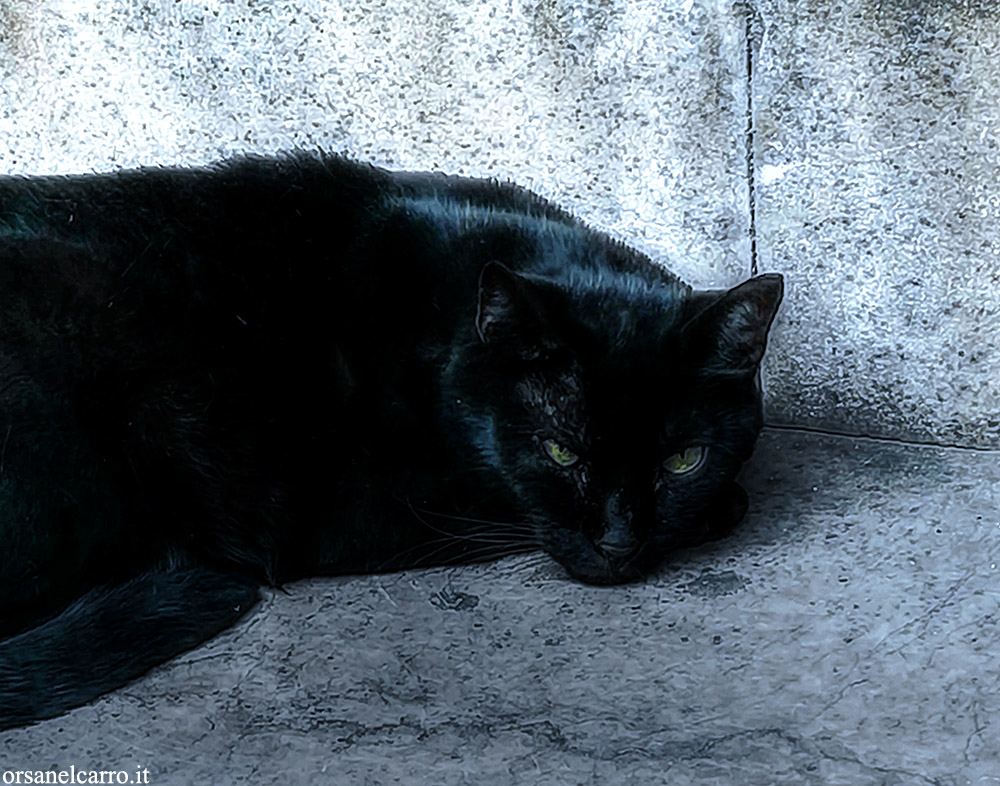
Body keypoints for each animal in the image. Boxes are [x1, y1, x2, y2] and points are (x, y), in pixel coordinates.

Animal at [0, 153, 780, 728]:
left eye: (682, 461)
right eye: (561, 450)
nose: (619, 543)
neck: (440, 320)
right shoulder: (374, 507)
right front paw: (722, 507)